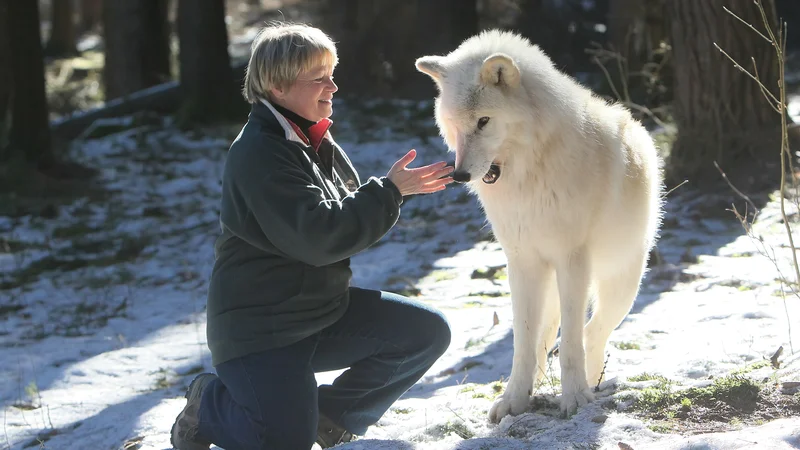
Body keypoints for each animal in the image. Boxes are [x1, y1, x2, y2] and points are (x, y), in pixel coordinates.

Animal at [416, 31, 664, 422]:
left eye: (483, 121)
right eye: (454, 122)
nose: (459, 175)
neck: (528, 174)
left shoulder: (571, 260)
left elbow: (572, 342)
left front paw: (575, 399)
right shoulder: (522, 262)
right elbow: (523, 343)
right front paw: (514, 400)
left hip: (621, 285)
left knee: (591, 333)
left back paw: (592, 383)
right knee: (547, 341)